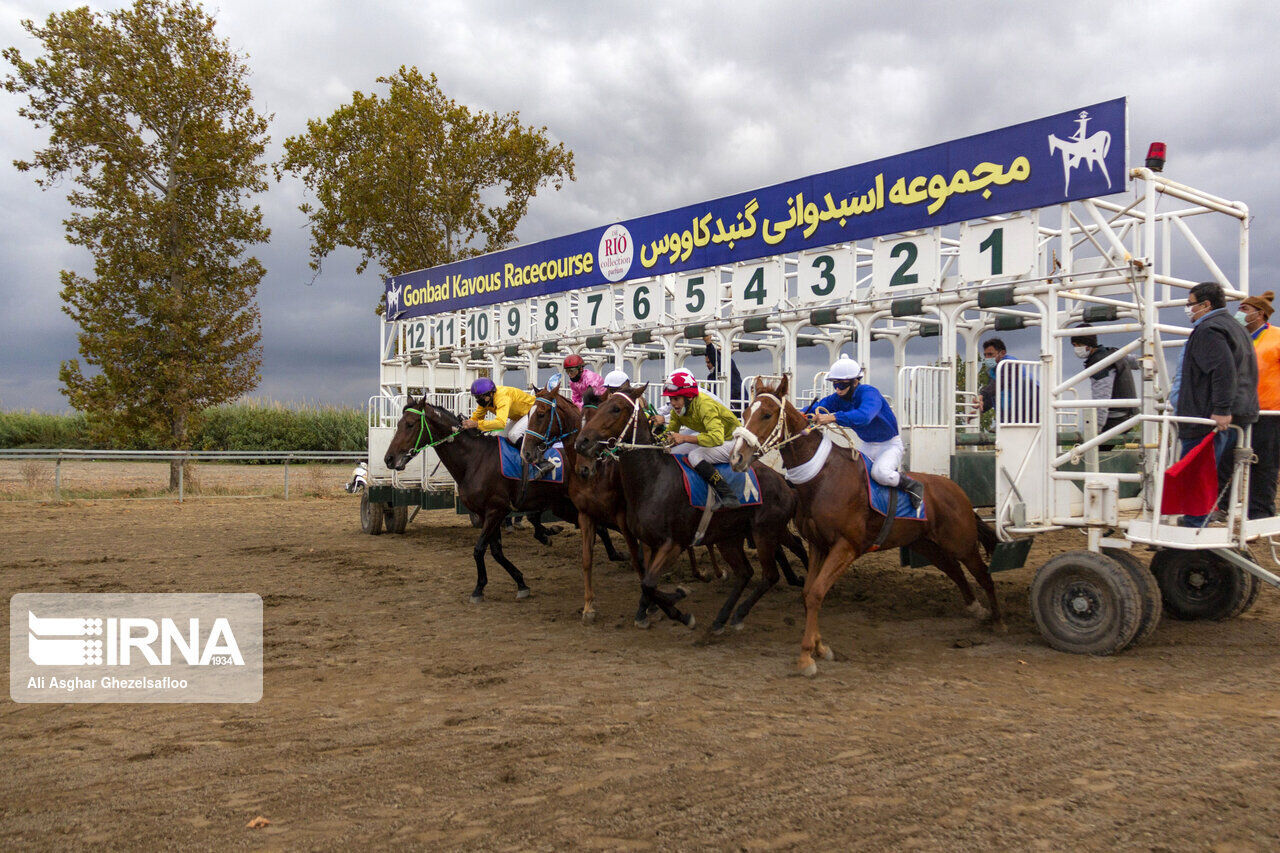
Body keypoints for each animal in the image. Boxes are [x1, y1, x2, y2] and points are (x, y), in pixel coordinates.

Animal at [381, 397, 578, 601]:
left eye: (410, 424)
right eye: (398, 424)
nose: (389, 458)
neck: (474, 459)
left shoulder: (495, 511)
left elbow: (479, 549)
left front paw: (478, 588)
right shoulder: (486, 514)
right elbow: (496, 551)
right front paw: (520, 582)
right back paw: (547, 533)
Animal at [576, 384, 803, 630]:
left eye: (616, 408)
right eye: (599, 406)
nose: (582, 442)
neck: (654, 480)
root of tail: (784, 483)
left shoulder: (673, 543)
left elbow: (649, 583)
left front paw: (679, 600)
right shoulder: (649, 543)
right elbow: (646, 580)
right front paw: (650, 610)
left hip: (765, 532)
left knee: (770, 574)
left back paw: (741, 613)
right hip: (729, 537)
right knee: (745, 573)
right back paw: (720, 619)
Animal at [732, 376, 998, 676]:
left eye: (766, 414)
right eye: (745, 412)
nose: (737, 458)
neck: (822, 479)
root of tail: (958, 490)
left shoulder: (847, 546)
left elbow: (816, 593)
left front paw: (807, 656)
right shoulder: (818, 544)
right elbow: (808, 593)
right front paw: (820, 647)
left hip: (962, 542)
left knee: (983, 575)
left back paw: (998, 620)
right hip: (926, 544)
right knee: (953, 569)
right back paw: (976, 608)